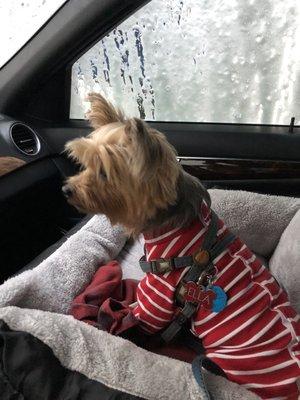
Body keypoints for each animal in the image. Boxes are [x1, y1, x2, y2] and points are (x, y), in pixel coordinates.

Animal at [63, 94, 300, 400]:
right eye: (84, 164)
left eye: (104, 173)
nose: (66, 190)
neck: (168, 222)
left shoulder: (159, 290)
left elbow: (140, 313)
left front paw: (122, 319)